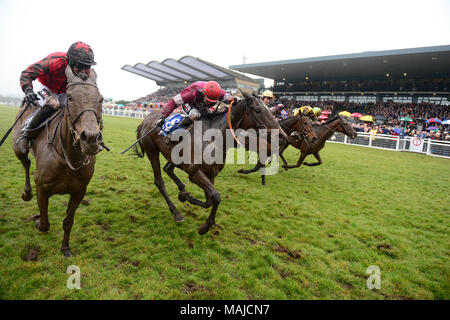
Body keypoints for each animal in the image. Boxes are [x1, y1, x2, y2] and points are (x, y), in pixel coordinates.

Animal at [12, 67, 104, 258]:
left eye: (101, 99)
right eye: (70, 97)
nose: (91, 139)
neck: (68, 157)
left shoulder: (79, 192)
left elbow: (68, 221)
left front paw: (65, 247)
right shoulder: (42, 188)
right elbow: (44, 224)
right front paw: (38, 220)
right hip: (17, 147)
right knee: (25, 162)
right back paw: (26, 193)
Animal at [136, 90, 288, 235]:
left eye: (271, 110)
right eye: (258, 110)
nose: (282, 135)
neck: (214, 139)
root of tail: (144, 121)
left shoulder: (211, 174)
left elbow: (210, 200)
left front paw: (185, 197)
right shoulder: (195, 173)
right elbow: (216, 196)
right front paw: (205, 227)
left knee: (168, 169)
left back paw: (182, 190)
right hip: (152, 151)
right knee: (159, 182)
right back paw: (176, 213)